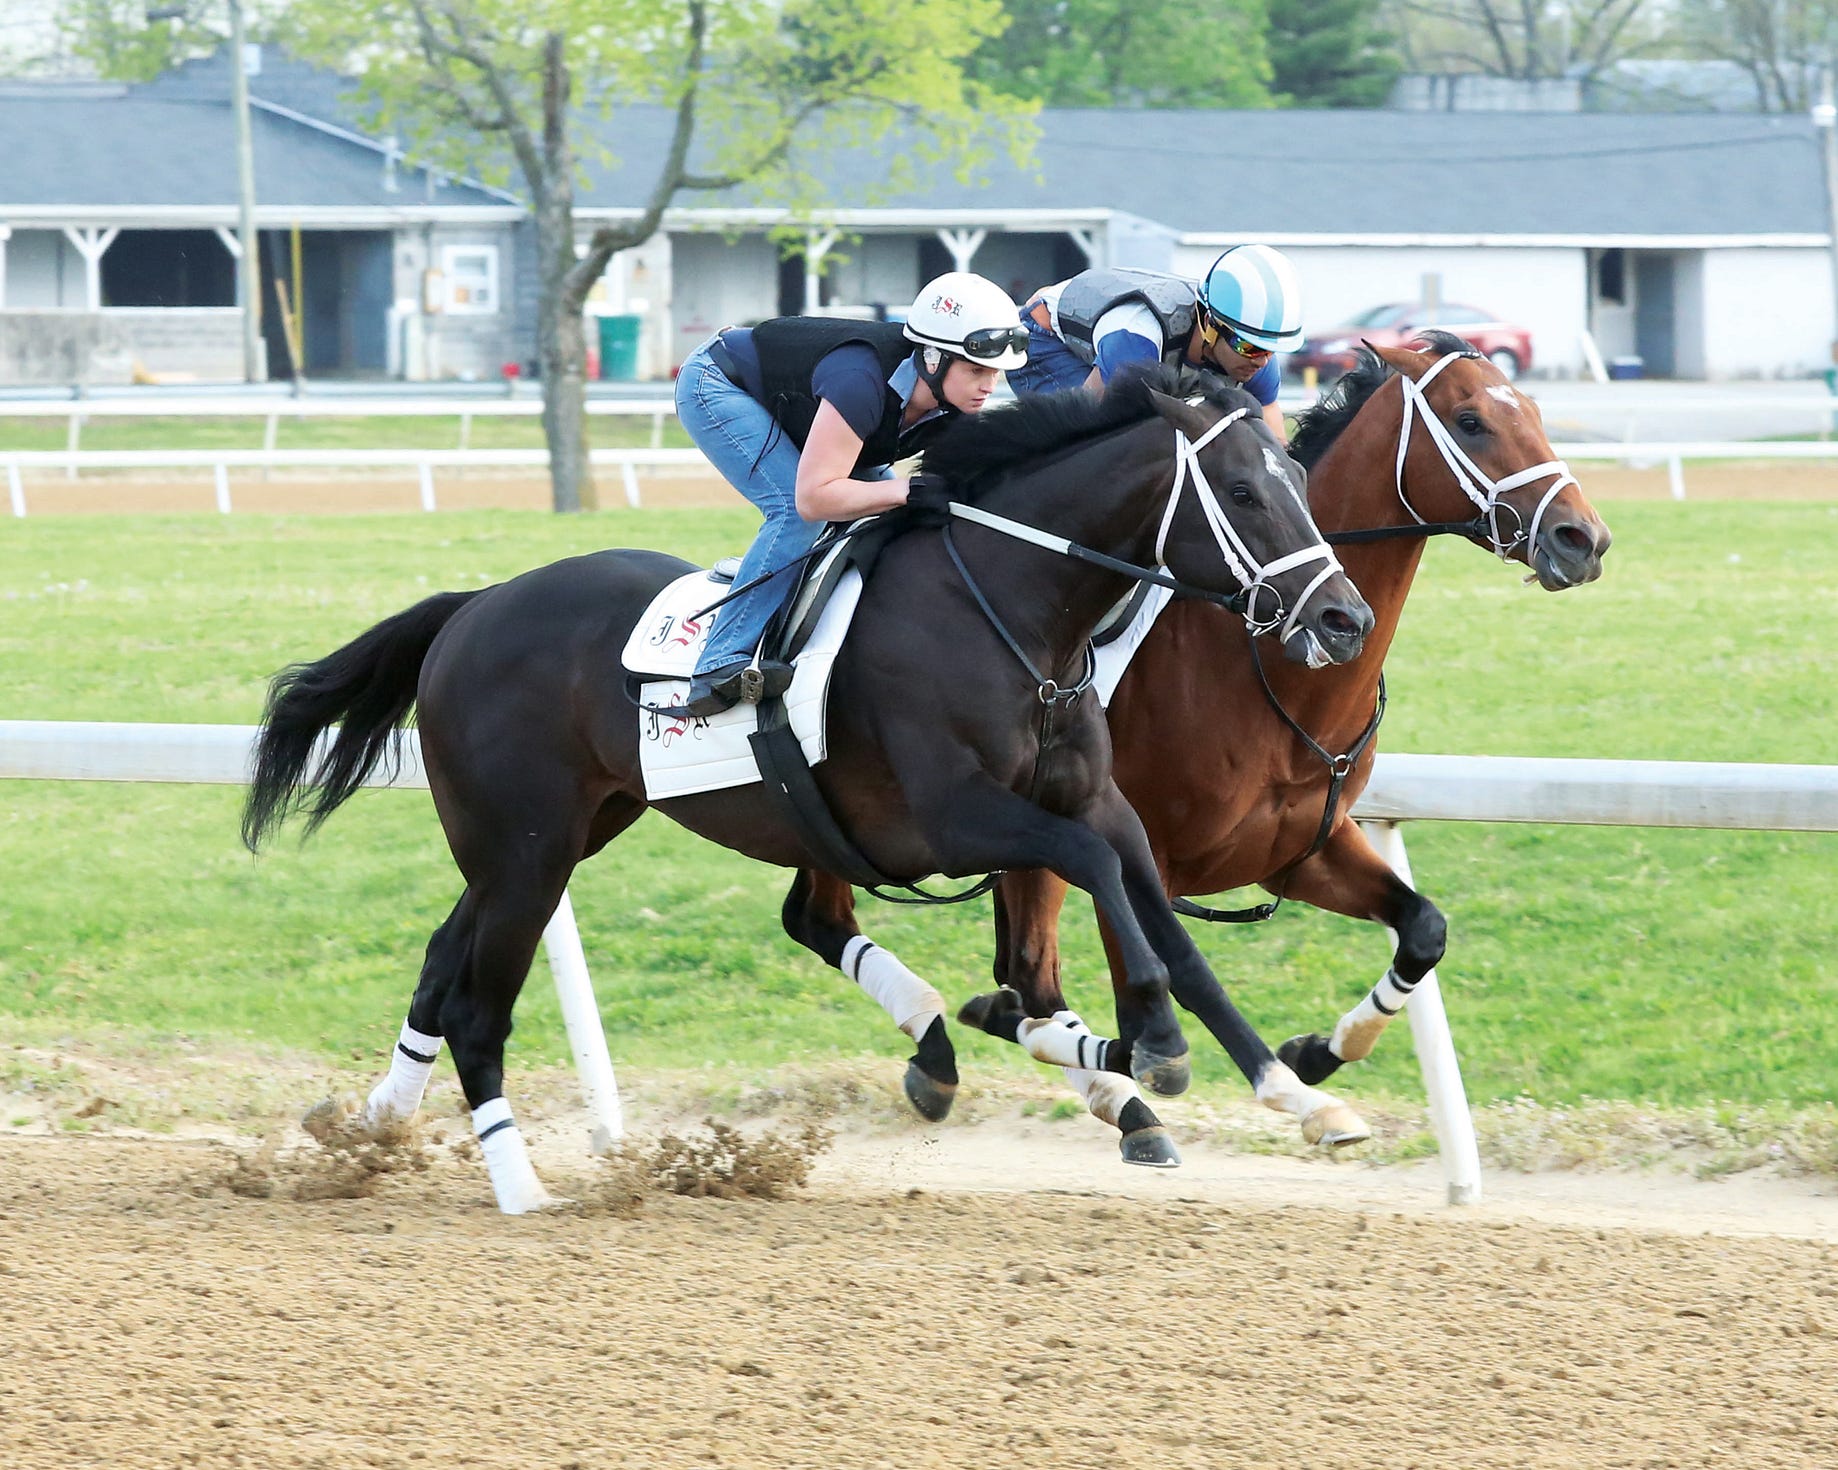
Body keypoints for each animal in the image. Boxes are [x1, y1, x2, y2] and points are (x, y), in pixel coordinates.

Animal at [241, 367, 1375, 1213]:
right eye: (1240, 493)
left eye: (1295, 475)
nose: (1344, 620)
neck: (1013, 611)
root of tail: (473, 607)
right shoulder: (952, 821)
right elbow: (1096, 876)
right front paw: (1150, 1042)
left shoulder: (1098, 800)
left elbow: (1169, 929)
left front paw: (1291, 1090)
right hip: (525, 850)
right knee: (479, 1008)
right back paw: (521, 1191)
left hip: (553, 837)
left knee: (442, 966)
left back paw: (373, 1134)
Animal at [829, 334, 1612, 1158]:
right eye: (1471, 421)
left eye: (1532, 411)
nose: (1583, 537)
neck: (1272, 675)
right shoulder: (1147, 851)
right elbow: (1153, 977)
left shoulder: (1302, 849)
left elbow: (1424, 930)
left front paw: (1317, 1054)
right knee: (1027, 969)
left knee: (1017, 972)